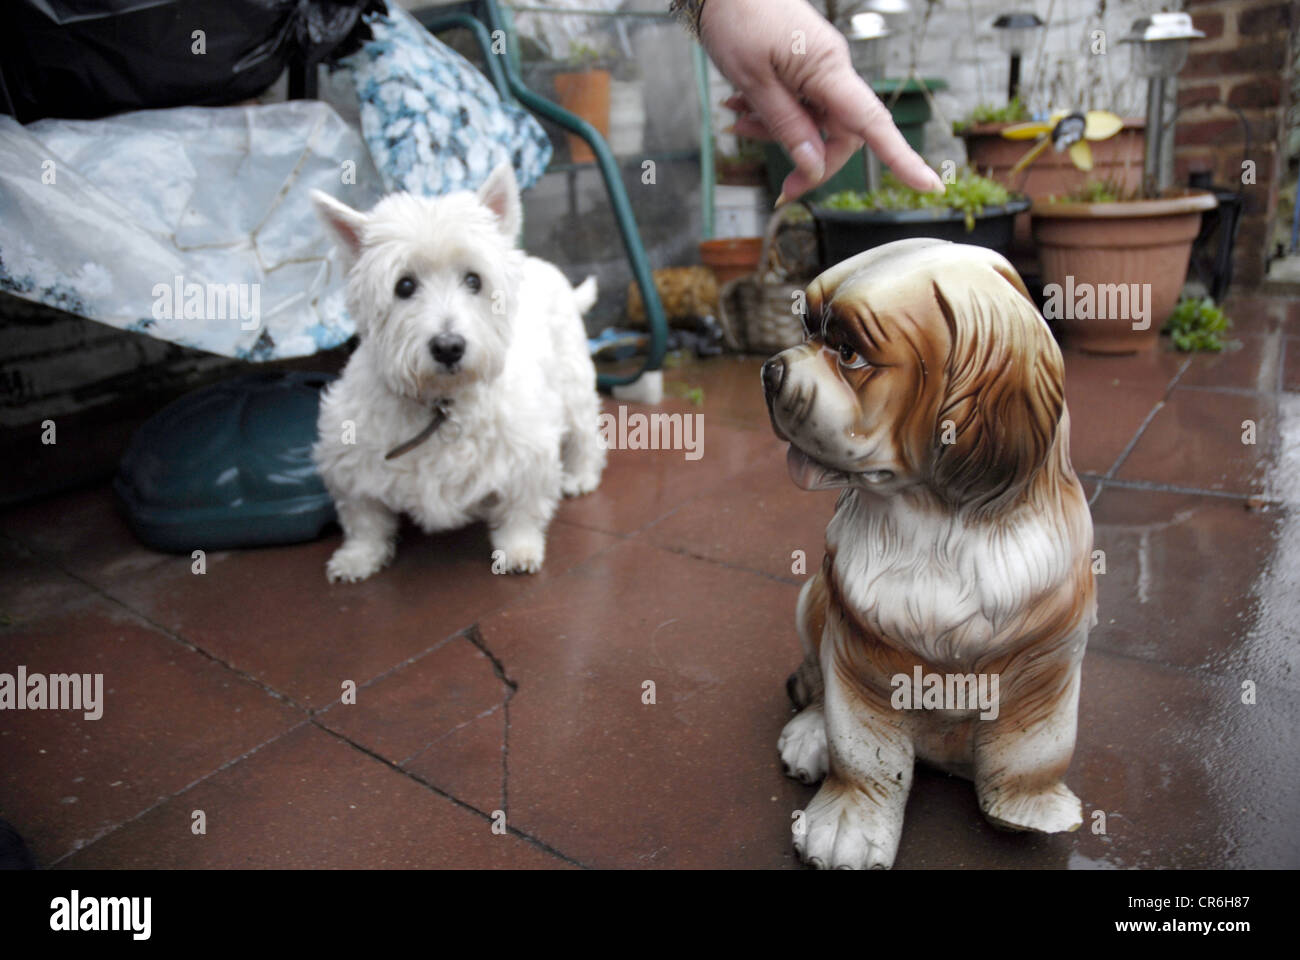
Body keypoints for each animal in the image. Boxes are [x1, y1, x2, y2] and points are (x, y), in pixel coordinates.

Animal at [309, 161, 603, 580]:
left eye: (473, 280)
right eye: (404, 285)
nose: (448, 347)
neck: (442, 402)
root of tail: (533, 261)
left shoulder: (527, 450)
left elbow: (521, 509)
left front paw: (519, 549)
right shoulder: (348, 456)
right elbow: (364, 519)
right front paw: (356, 558)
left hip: (573, 380)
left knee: (584, 432)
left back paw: (580, 476)